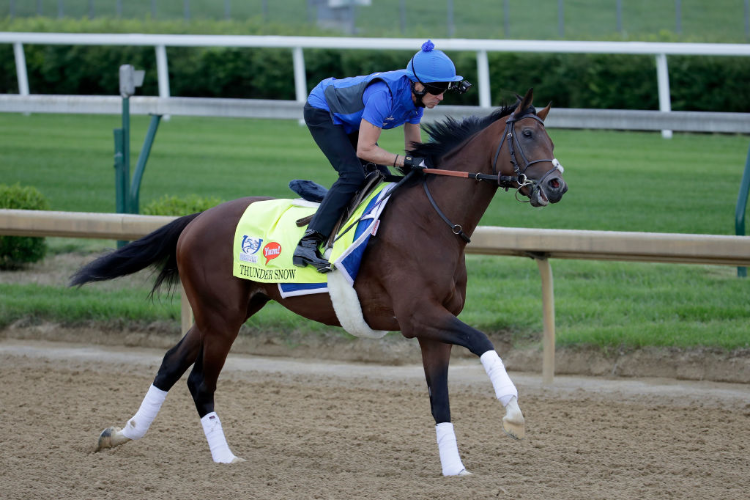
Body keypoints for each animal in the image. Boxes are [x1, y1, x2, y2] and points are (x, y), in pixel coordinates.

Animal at [73, 88, 568, 474]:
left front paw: (455, 468)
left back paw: (121, 433)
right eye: (527, 135)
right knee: (199, 379)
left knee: (171, 363)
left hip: (226, 310)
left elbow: (439, 397)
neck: (431, 220)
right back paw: (224, 457)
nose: (556, 185)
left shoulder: (434, 326)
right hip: (223, 316)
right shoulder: (418, 315)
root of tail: (197, 218)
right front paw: (513, 413)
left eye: (550, 136)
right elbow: (483, 340)